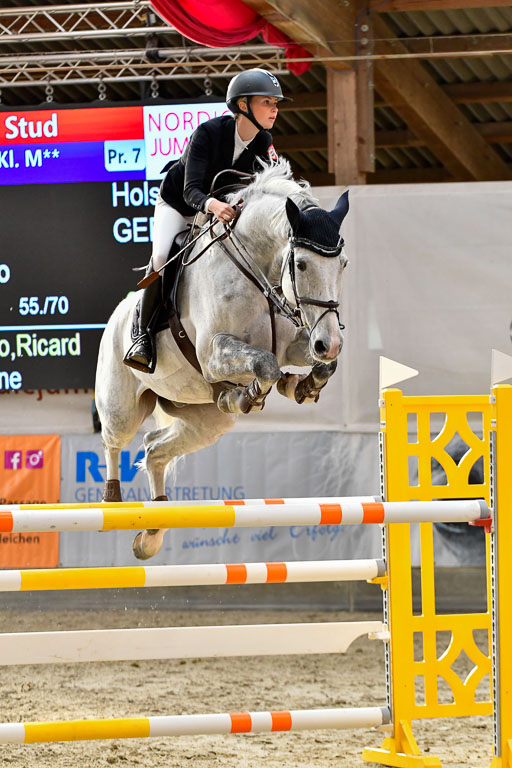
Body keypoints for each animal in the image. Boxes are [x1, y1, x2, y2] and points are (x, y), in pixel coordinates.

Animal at [94, 159, 350, 560]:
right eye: (302, 265)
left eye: (343, 265)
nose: (332, 342)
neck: (258, 269)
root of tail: (116, 316)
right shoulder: (213, 354)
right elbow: (265, 363)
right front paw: (255, 394)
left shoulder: (296, 342)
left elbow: (312, 364)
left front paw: (301, 386)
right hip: (121, 404)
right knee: (113, 441)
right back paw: (112, 502)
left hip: (205, 420)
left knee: (154, 449)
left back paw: (151, 535)